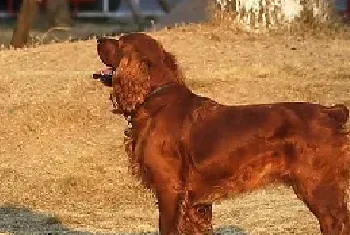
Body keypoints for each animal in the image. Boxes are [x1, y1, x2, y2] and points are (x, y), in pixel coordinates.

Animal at [95, 32, 350, 233]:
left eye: (120, 42)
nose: (98, 39)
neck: (156, 100)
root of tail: (330, 112)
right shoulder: (195, 205)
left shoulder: (169, 189)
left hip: (319, 189)